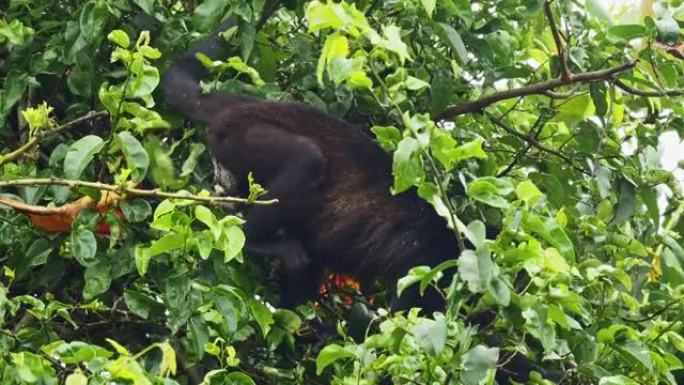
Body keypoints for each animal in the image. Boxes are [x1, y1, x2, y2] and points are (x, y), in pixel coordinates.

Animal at [163, 17, 552, 380]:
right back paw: (258, 243)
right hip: (241, 134)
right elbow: (402, 324)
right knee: (306, 159)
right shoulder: (433, 264)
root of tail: (238, 103)